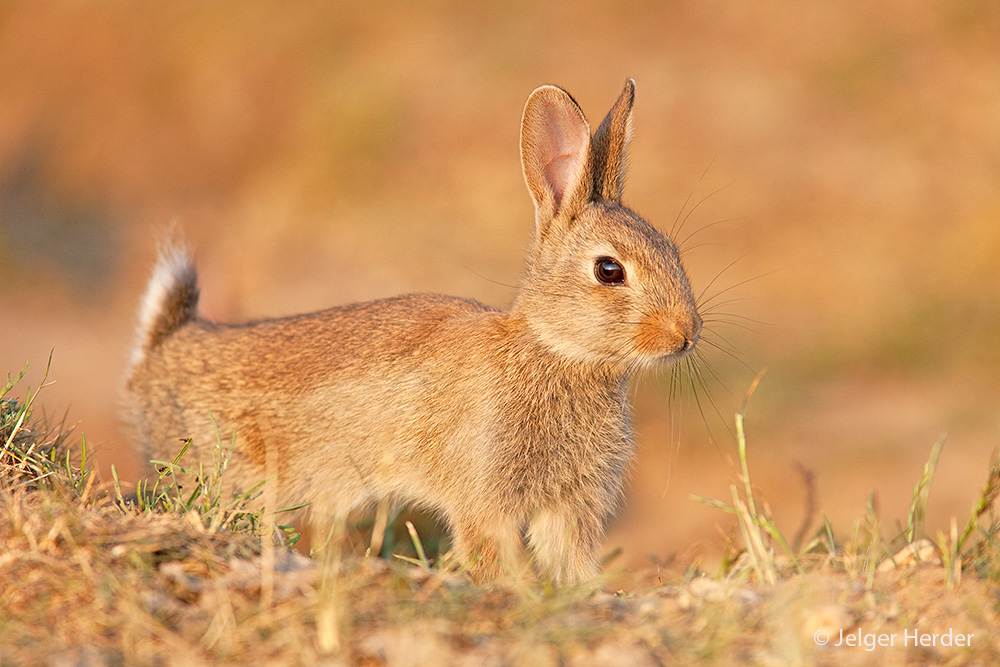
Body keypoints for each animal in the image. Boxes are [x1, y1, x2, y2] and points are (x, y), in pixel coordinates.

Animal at [123, 81, 704, 588]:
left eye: (673, 252)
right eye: (609, 270)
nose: (685, 334)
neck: (555, 351)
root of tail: (160, 348)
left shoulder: (569, 508)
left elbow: (569, 559)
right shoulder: (485, 495)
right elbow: (487, 550)